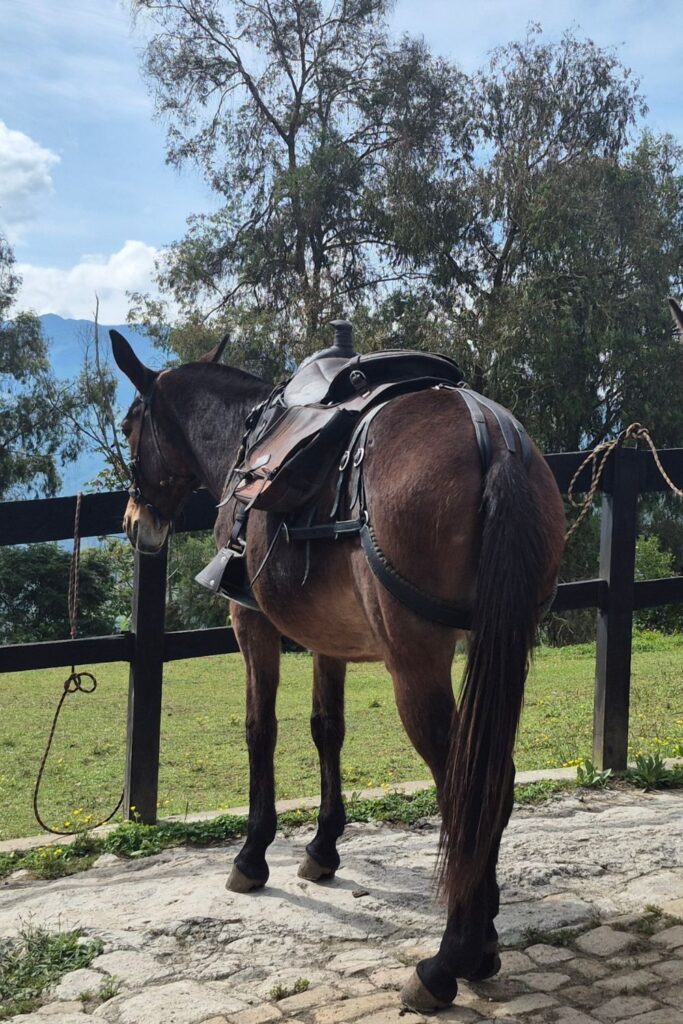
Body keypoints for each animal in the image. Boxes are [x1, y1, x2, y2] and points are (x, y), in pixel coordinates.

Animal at [111, 330, 565, 1013]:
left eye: (130, 425)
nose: (136, 522)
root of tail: (493, 436)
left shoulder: (252, 623)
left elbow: (261, 729)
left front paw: (252, 856)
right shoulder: (329, 640)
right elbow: (328, 728)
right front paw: (323, 848)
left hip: (417, 662)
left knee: (462, 781)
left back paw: (448, 960)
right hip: (498, 646)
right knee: (492, 776)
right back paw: (480, 935)